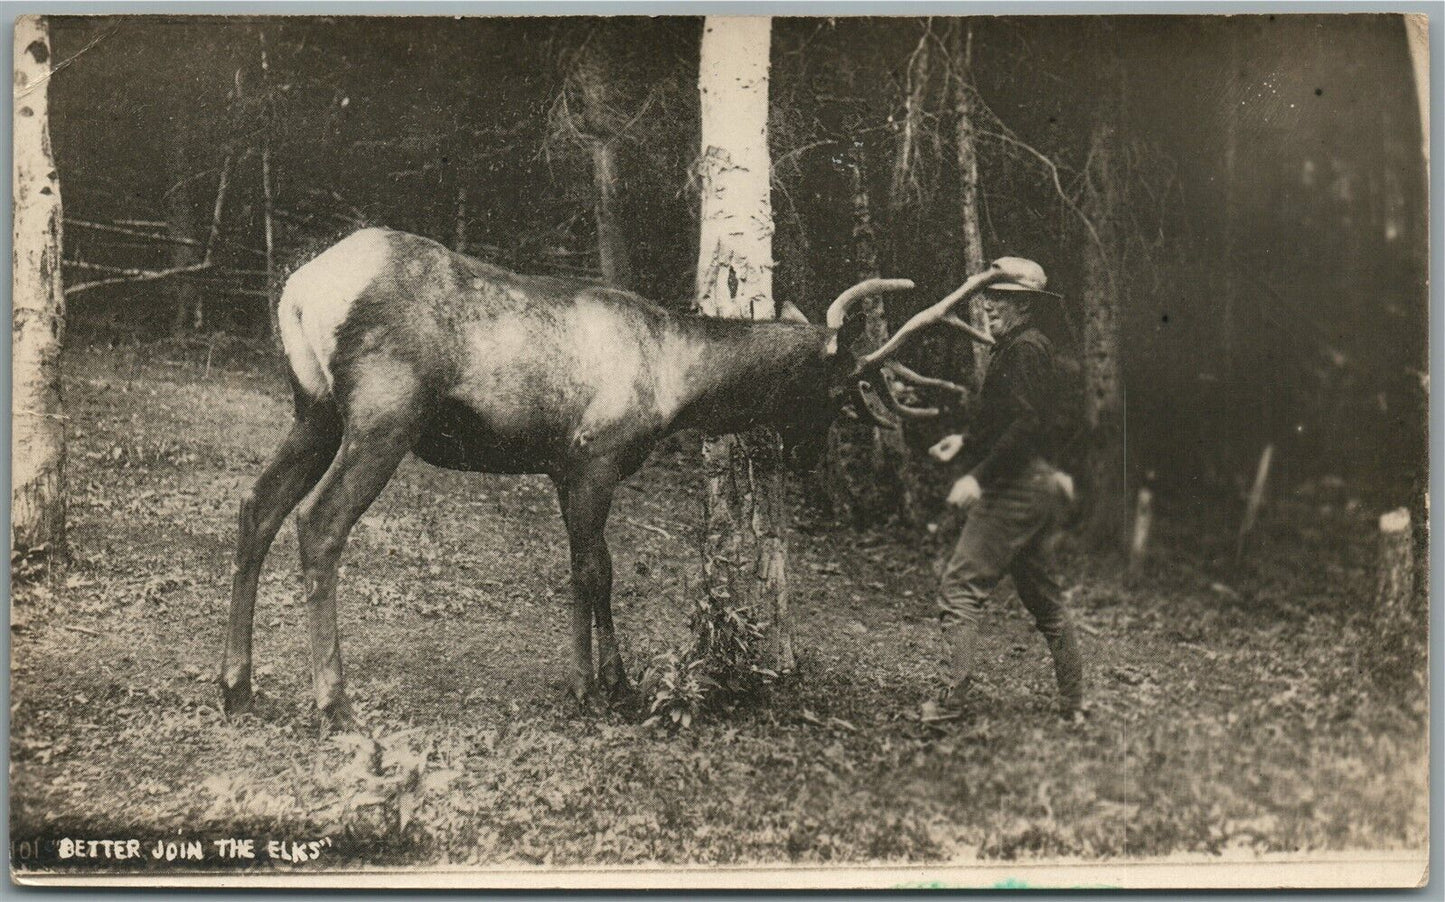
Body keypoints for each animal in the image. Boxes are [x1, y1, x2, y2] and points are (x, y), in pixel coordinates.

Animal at [220, 226, 1019, 733]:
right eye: (838, 385)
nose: (804, 456)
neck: (676, 382)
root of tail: (298, 289)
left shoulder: (562, 467)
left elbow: (583, 573)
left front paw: (597, 678)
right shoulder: (595, 457)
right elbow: (596, 573)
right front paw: (605, 685)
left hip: (314, 408)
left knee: (256, 506)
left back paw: (236, 685)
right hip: (383, 413)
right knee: (318, 522)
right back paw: (332, 703)